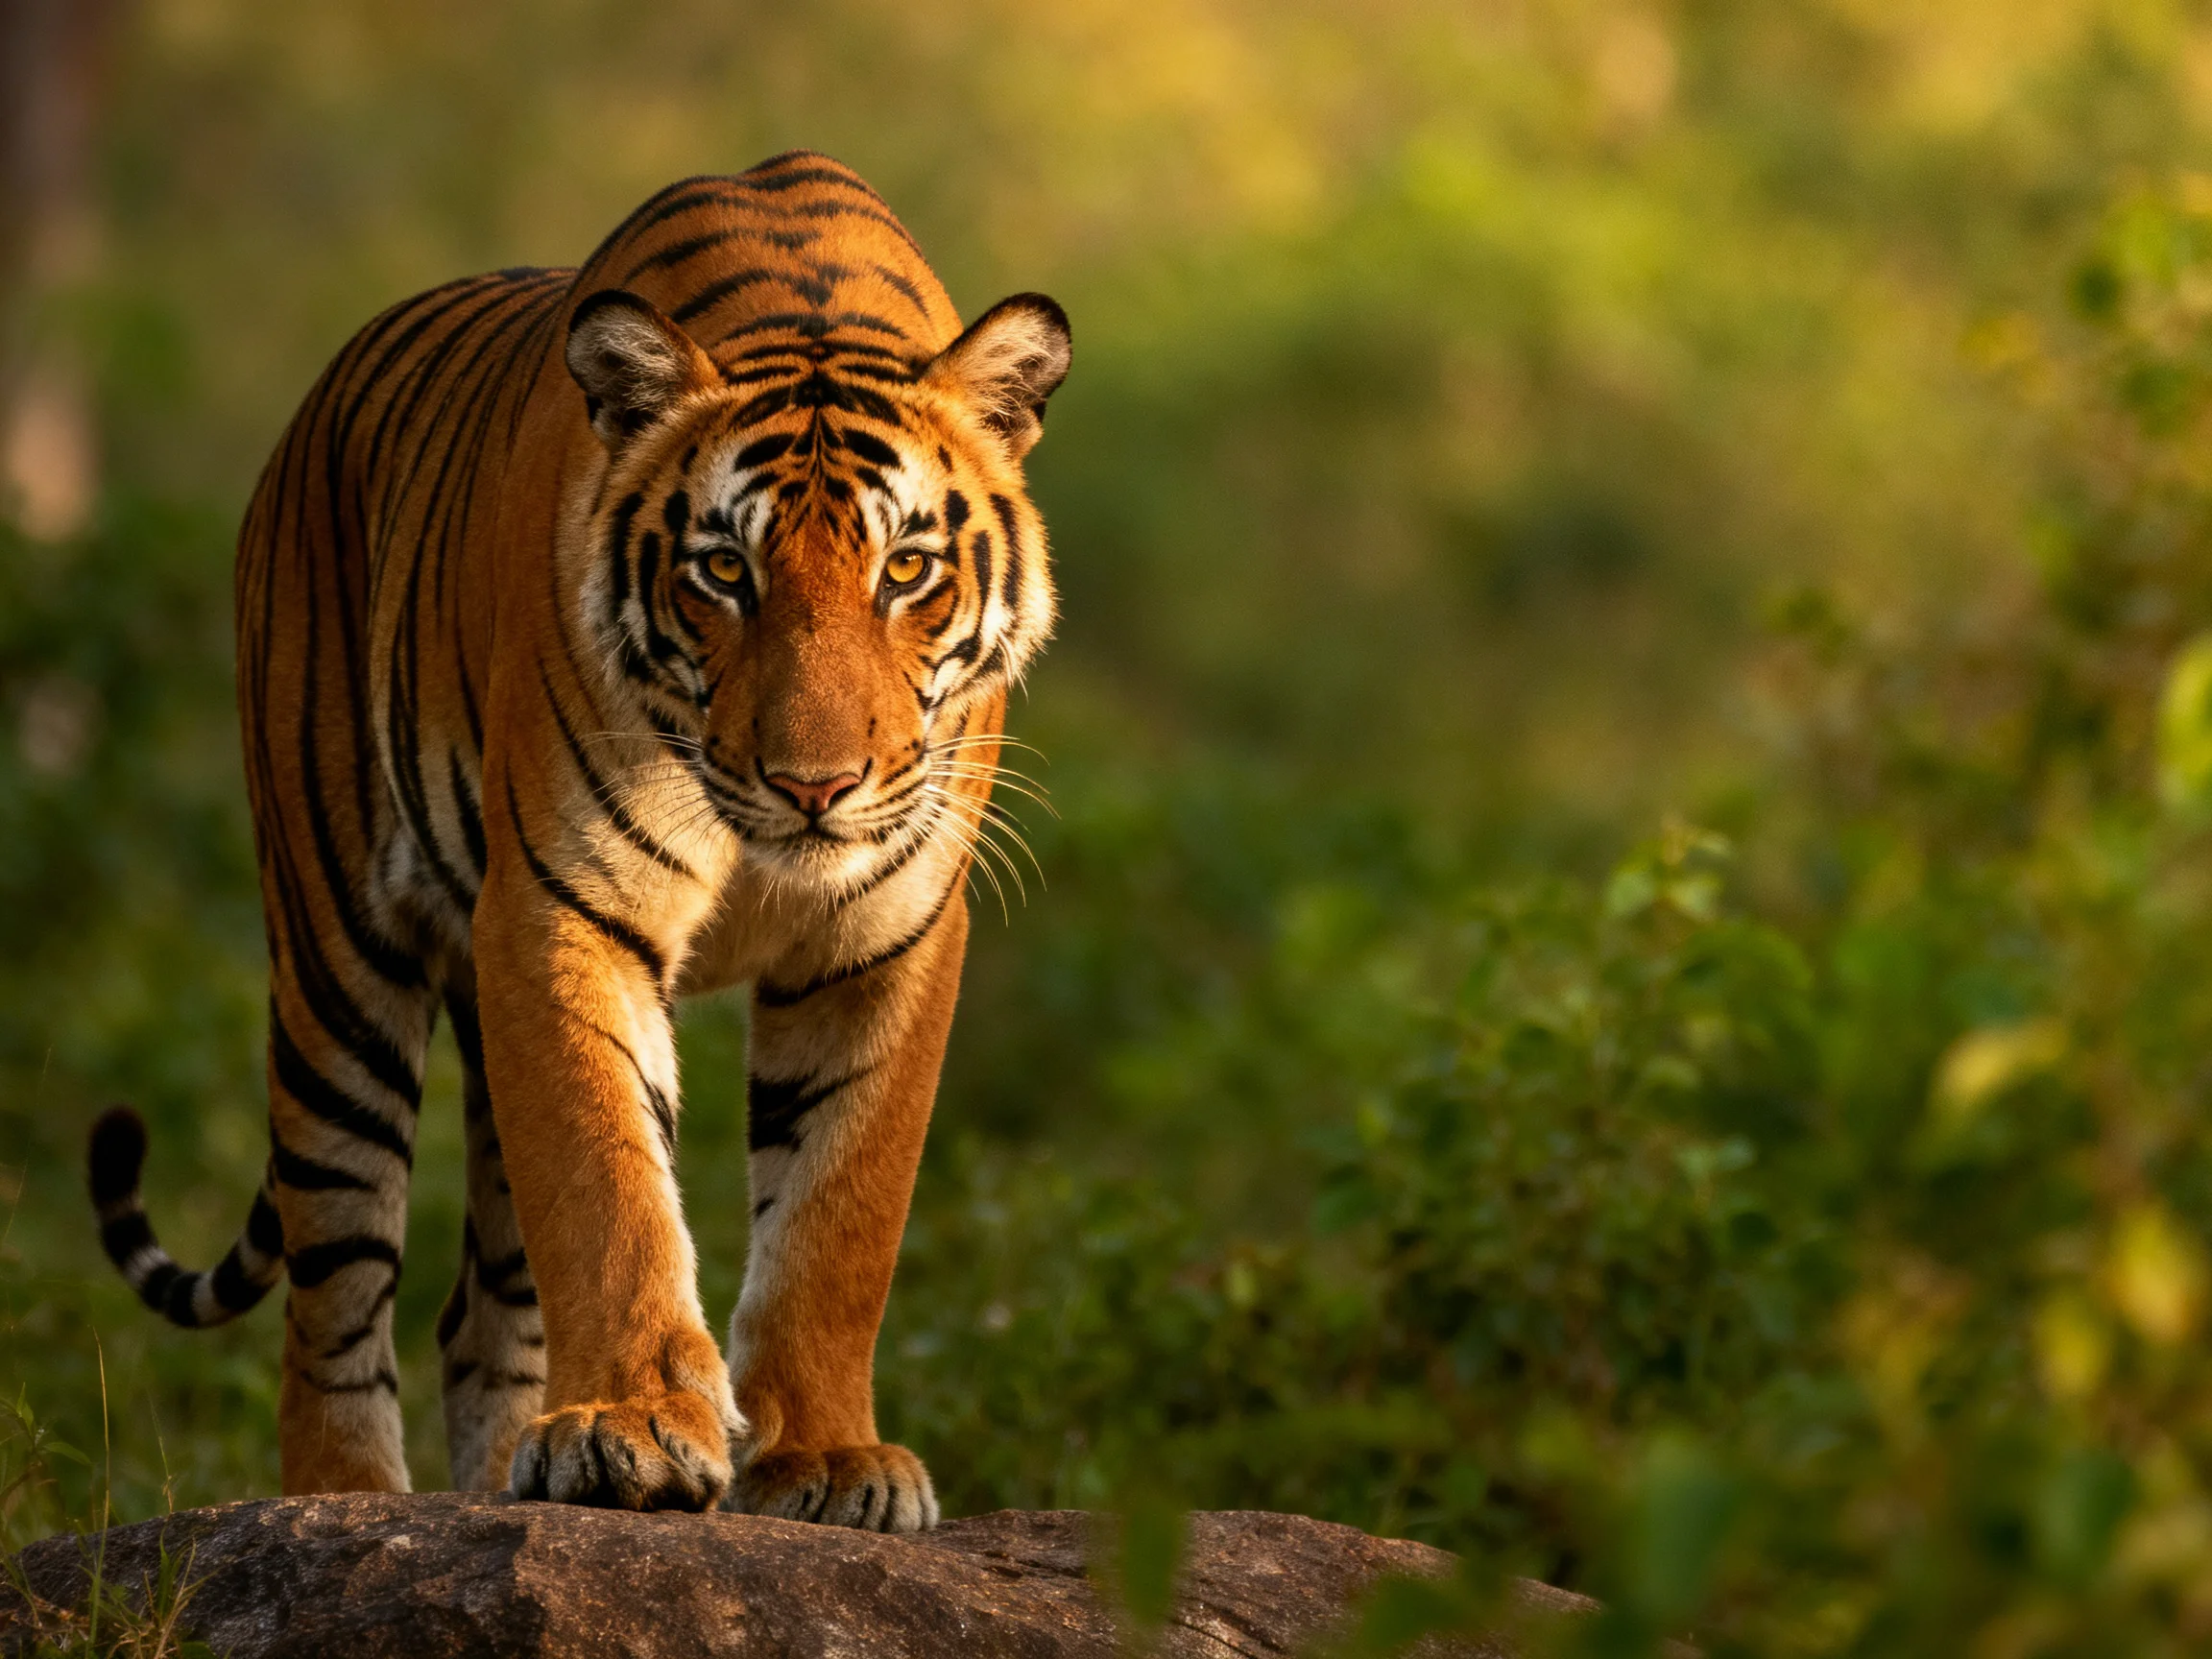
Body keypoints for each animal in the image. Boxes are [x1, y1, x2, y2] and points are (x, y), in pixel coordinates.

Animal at [83, 150, 1069, 1528]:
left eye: (907, 569)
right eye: (724, 572)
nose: (816, 785)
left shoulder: (889, 935)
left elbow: (839, 1213)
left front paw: (826, 1461)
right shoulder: (559, 908)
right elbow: (610, 1187)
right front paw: (633, 1431)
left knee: (478, 1310)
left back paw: (508, 1483)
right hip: (336, 961)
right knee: (335, 1301)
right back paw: (350, 1505)